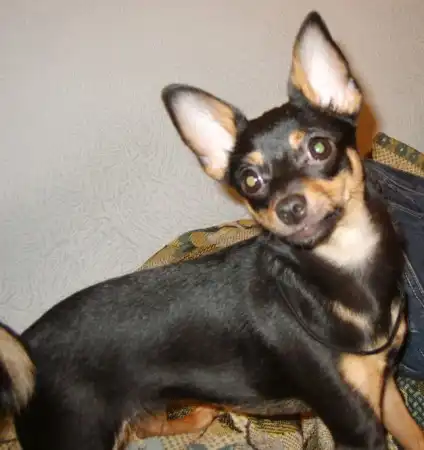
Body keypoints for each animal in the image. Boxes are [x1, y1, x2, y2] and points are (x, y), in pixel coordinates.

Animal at [1, 11, 423, 450]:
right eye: (250, 181)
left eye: (319, 148)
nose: (288, 207)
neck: (344, 268)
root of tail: (28, 346)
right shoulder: (356, 425)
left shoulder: (384, 391)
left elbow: (415, 435)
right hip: (78, 434)